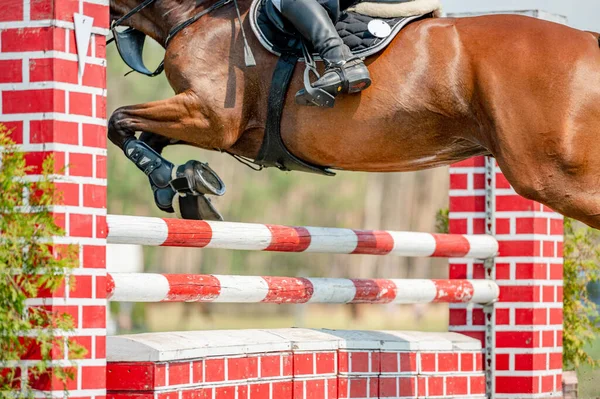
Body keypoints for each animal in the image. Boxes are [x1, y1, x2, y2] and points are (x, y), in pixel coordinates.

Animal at [108, 0, 600, 230]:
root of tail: (589, 39)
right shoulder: (210, 121)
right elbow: (139, 132)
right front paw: (187, 182)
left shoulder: (211, 117)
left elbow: (118, 121)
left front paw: (177, 179)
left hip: (551, 174)